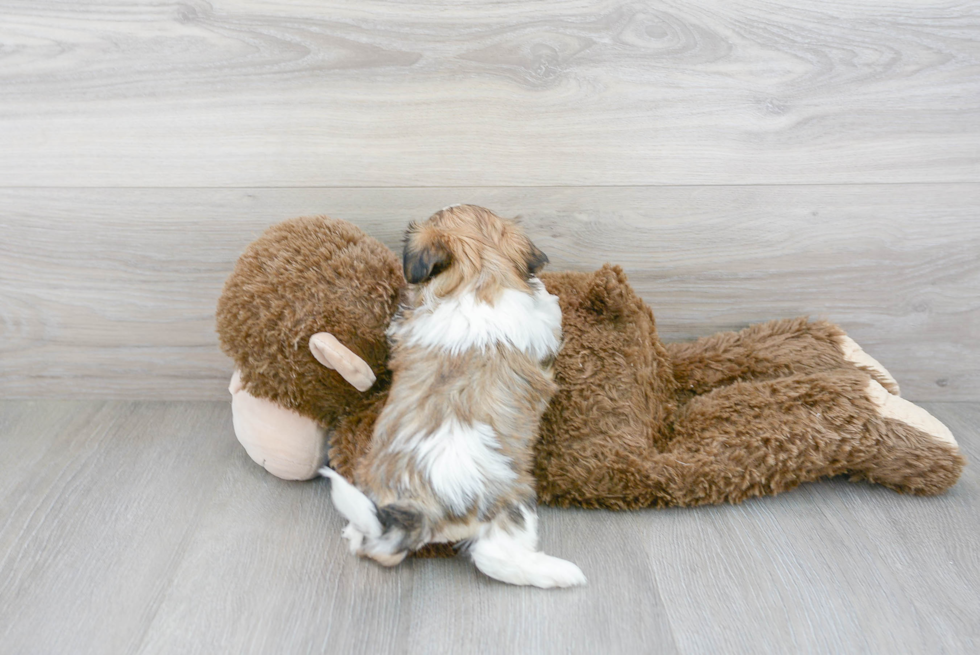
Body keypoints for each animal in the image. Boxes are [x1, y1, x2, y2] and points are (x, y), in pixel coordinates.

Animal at [322, 204, 584, 588]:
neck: (477, 276)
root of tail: (419, 506)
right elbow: (549, 307)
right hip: (510, 500)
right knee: (494, 556)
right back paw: (558, 572)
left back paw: (357, 535)